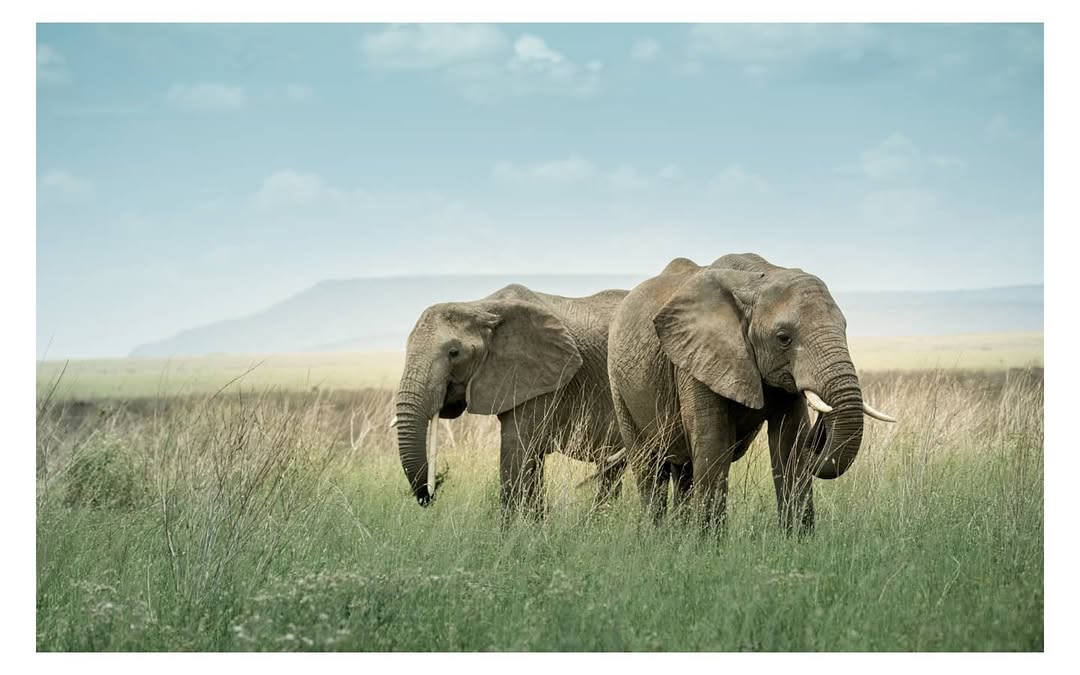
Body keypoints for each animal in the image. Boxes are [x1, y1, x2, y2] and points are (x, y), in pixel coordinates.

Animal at [394, 283, 629, 520]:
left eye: (454, 353)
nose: (431, 493)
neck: (481, 307)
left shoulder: (541, 376)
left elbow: (516, 450)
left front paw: (509, 529)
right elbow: (530, 460)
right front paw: (535, 525)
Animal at [607, 253, 896, 533]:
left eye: (844, 329)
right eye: (783, 338)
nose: (818, 440)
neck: (757, 279)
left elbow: (790, 443)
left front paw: (798, 541)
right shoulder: (696, 362)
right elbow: (713, 441)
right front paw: (709, 544)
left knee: (684, 469)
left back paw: (678, 536)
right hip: (618, 385)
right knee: (649, 467)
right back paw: (657, 536)